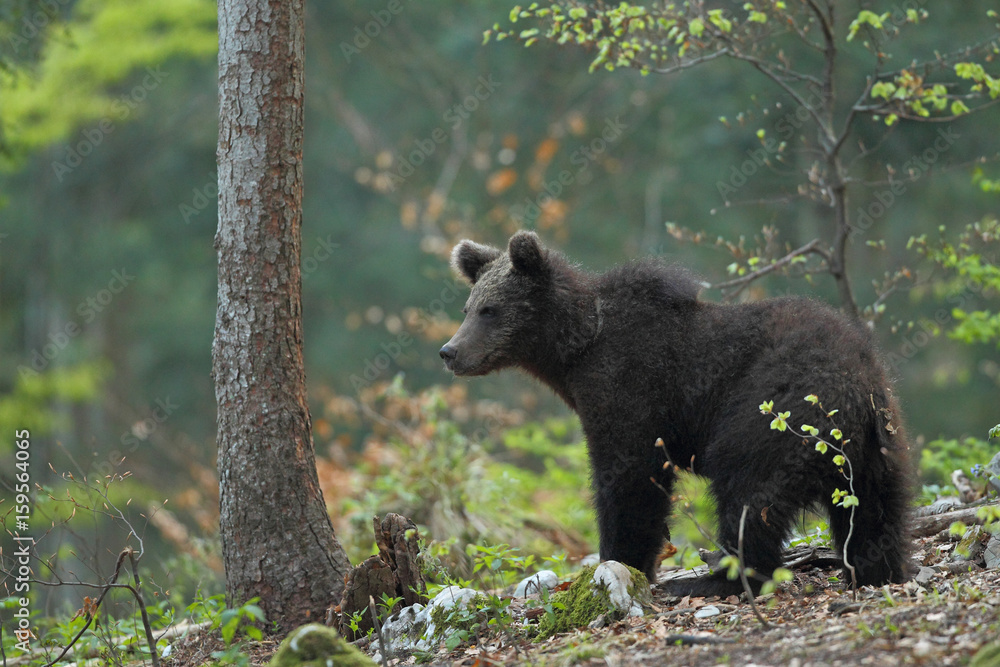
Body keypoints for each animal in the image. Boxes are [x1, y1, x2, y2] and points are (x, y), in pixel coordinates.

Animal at [440, 230, 913, 597]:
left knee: (748, 488)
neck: (577, 349)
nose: (450, 351)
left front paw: (621, 561)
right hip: (878, 440)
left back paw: (716, 579)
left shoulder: (631, 385)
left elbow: (629, 475)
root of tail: (860, 377)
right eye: (468, 307)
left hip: (775, 408)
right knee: (874, 507)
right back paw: (876, 569)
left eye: (490, 310)